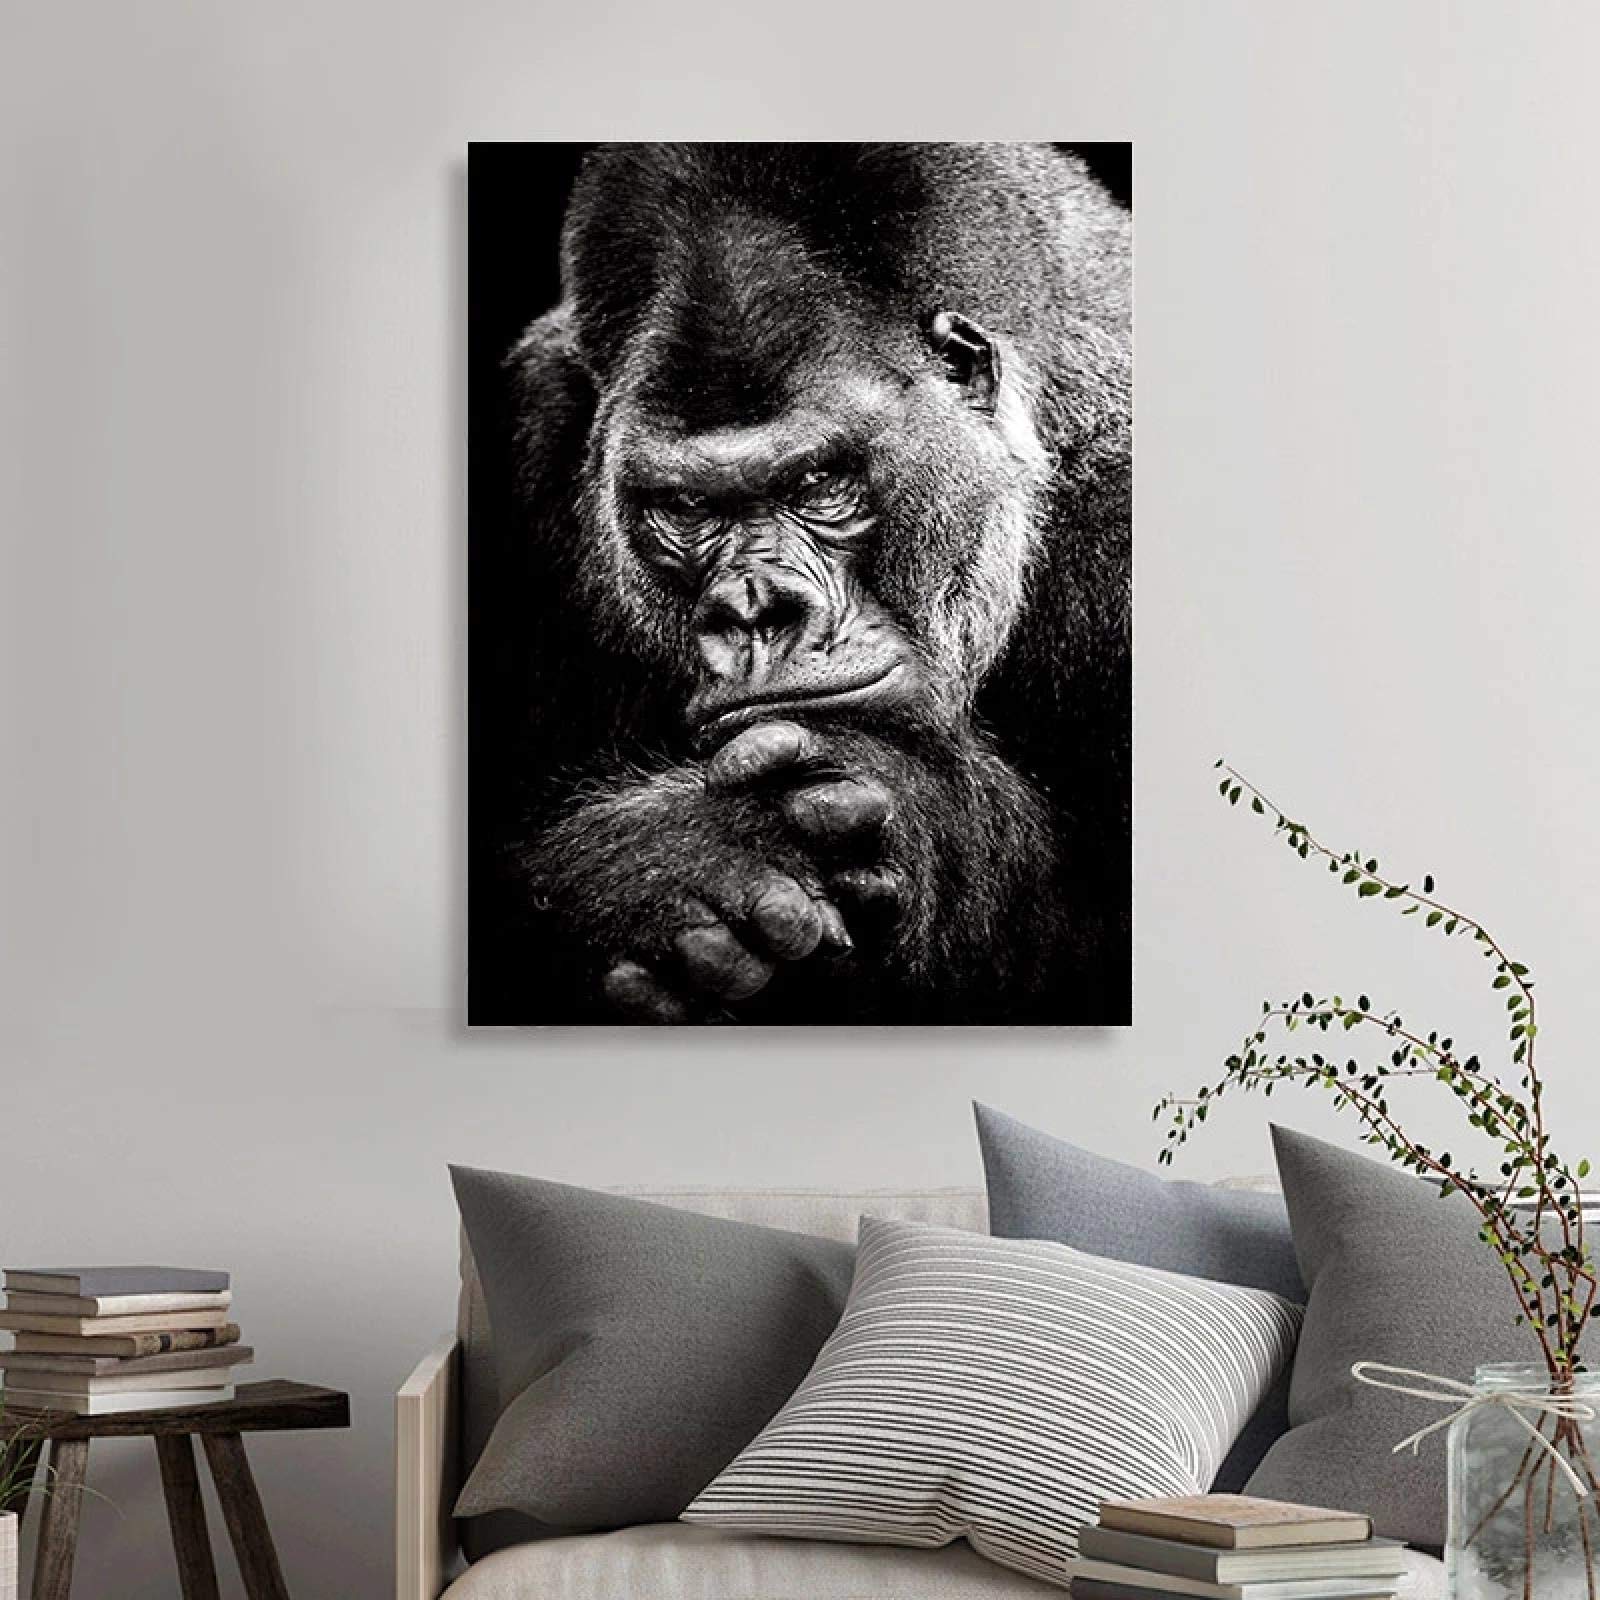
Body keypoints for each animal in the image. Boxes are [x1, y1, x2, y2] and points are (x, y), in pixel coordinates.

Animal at [469, 142, 1130, 1025]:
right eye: (686, 507)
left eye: (818, 482)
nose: (755, 609)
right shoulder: (531, 429)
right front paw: (663, 868)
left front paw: (916, 811)